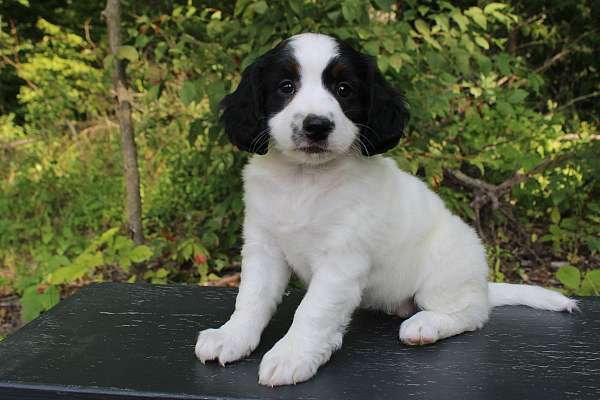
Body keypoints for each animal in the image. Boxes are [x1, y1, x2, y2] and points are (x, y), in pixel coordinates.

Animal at [195, 33, 576, 388]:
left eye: (344, 89)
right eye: (286, 87)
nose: (316, 126)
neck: (305, 180)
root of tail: (483, 284)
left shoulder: (341, 262)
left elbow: (312, 311)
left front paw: (291, 355)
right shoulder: (264, 248)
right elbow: (252, 298)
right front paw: (232, 336)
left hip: (445, 273)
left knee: (472, 313)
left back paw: (426, 324)